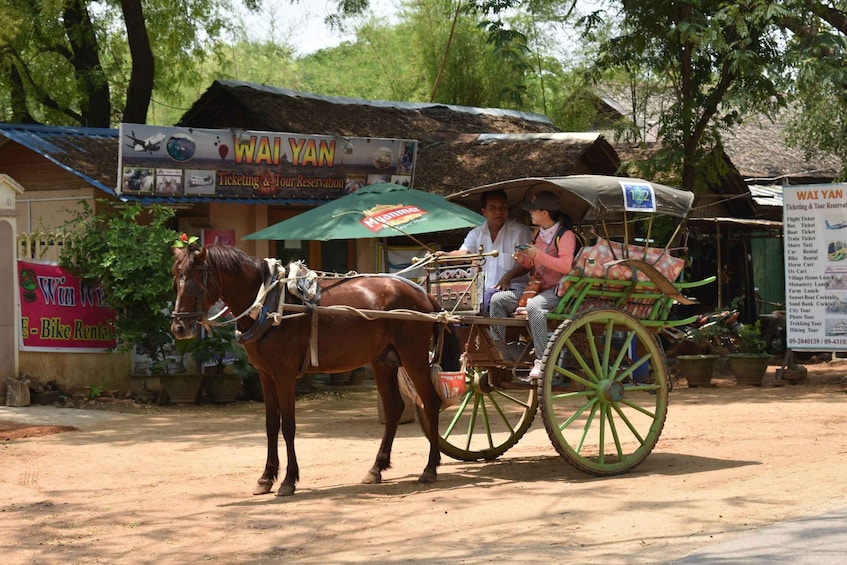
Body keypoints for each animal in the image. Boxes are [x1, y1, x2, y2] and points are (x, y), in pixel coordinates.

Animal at [170, 242, 460, 494]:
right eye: (176, 280)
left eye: (197, 283)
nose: (178, 328)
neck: (269, 302)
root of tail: (423, 295)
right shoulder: (265, 375)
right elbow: (271, 425)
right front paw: (266, 478)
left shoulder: (284, 375)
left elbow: (288, 425)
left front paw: (288, 480)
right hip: (383, 361)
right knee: (394, 409)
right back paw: (376, 468)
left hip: (413, 356)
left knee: (430, 402)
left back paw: (430, 468)